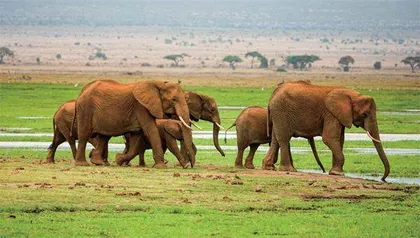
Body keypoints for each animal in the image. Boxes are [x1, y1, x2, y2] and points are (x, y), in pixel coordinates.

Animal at [262, 81, 390, 181]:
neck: (352, 94)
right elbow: (329, 138)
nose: (382, 178)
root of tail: (274, 93)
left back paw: (269, 167)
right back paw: (289, 170)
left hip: (277, 113)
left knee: (275, 139)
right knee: (284, 138)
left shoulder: (339, 116)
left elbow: (340, 140)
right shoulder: (331, 114)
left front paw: (334, 172)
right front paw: (338, 173)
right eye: (364, 114)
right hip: (281, 111)